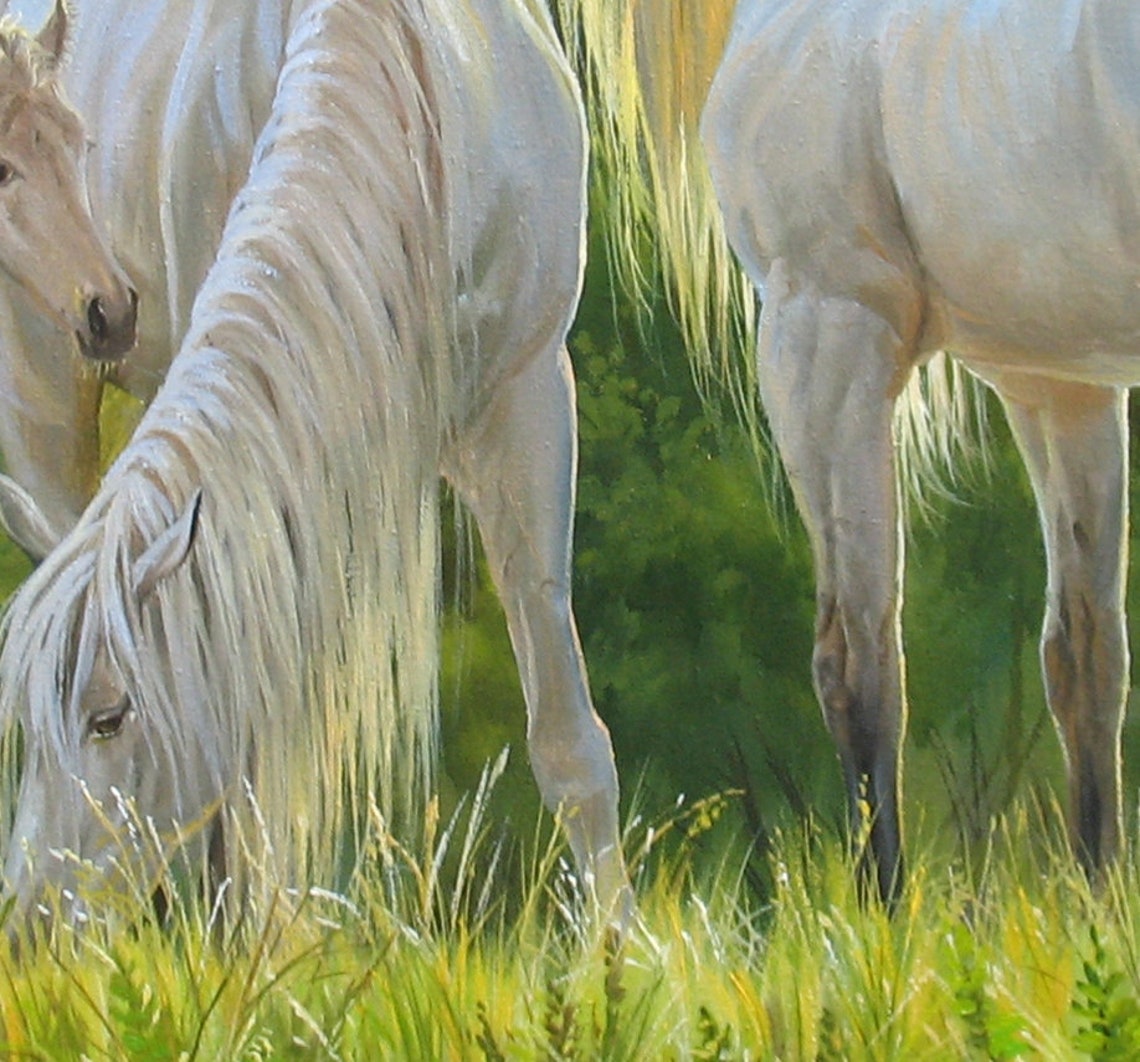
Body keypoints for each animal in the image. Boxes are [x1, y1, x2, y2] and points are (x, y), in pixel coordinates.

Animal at [559, 0, 1140, 903]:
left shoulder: (827, 325)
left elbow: (856, 663)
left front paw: (880, 915)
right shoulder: (1056, 379)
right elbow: (1084, 656)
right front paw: (1096, 903)